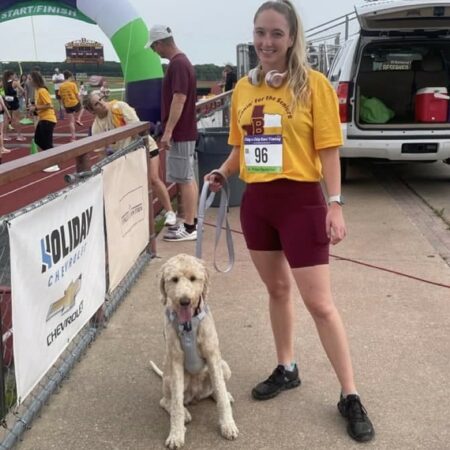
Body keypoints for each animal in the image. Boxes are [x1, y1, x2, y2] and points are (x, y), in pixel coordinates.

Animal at [150, 255, 239, 448]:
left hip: (224, 367)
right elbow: (176, 404)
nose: (184, 301)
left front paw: (227, 425)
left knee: (216, 389)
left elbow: (220, 393)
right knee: (166, 401)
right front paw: (176, 434)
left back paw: (222, 395)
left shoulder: (213, 357)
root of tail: (197, 394)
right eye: (174, 279)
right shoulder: (175, 362)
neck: (188, 324)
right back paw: (184, 413)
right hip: (169, 378)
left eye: (193, 278)